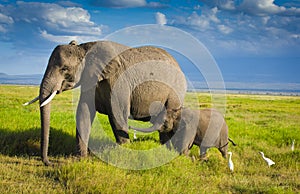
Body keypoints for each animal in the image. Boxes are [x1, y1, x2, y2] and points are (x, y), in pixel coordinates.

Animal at [25, 40, 186, 165]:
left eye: (64, 69)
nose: (49, 162)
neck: (85, 48)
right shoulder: (89, 78)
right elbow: (84, 112)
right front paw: (81, 159)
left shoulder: (118, 80)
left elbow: (117, 114)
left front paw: (124, 155)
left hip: (176, 91)